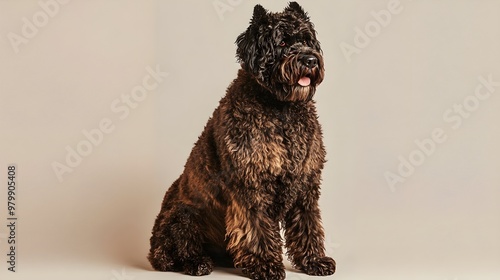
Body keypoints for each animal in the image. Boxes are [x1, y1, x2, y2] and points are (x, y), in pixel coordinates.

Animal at [148, 2, 336, 280]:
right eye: (281, 42)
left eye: (306, 40)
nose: (310, 60)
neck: (281, 109)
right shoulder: (250, 183)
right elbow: (257, 228)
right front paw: (266, 265)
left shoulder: (306, 183)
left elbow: (307, 222)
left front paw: (314, 260)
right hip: (184, 214)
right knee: (174, 252)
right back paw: (196, 262)